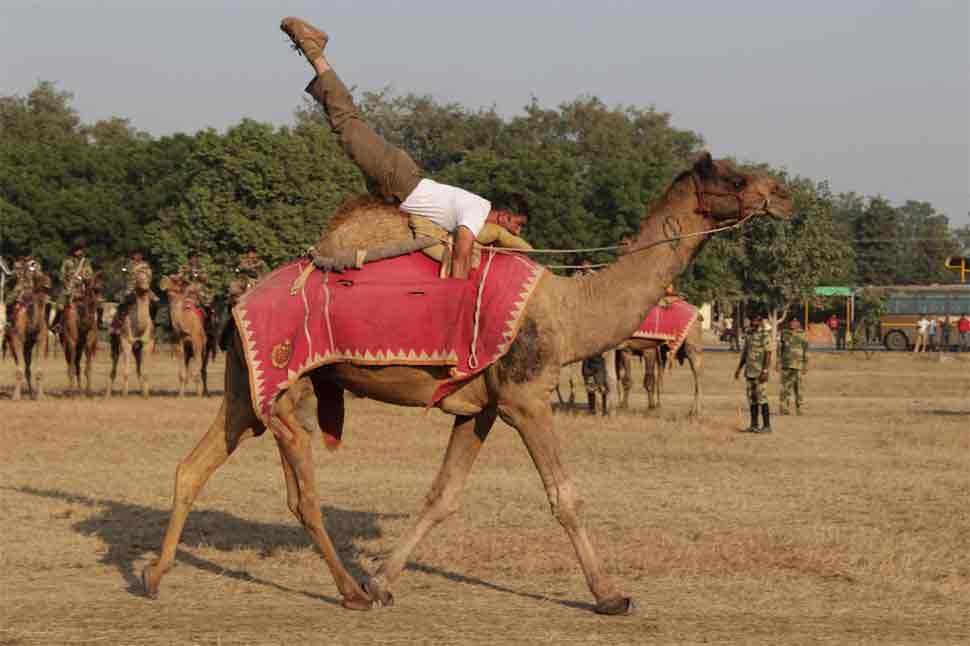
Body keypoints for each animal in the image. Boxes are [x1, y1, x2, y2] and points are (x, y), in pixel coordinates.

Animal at [106, 268, 155, 400]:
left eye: (148, 275)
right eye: (138, 277)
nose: (145, 286)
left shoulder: (148, 343)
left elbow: (144, 371)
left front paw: (146, 396)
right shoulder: (125, 342)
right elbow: (126, 371)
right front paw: (124, 395)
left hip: (136, 348)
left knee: (138, 367)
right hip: (114, 342)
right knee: (113, 367)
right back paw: (107, 395)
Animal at [144, 153, 796, 616]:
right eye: (735, 175)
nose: (785, 194)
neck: (569, 310)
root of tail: (237, 303)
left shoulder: (478, 407)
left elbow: (443, 494)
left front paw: (382, 579)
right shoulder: (526, 398)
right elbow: (564, 495)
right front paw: (611, 596)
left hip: (249, 377)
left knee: (196, 463)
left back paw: (154, 575)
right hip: (284, 378)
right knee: (298, 485)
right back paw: (346, 592)